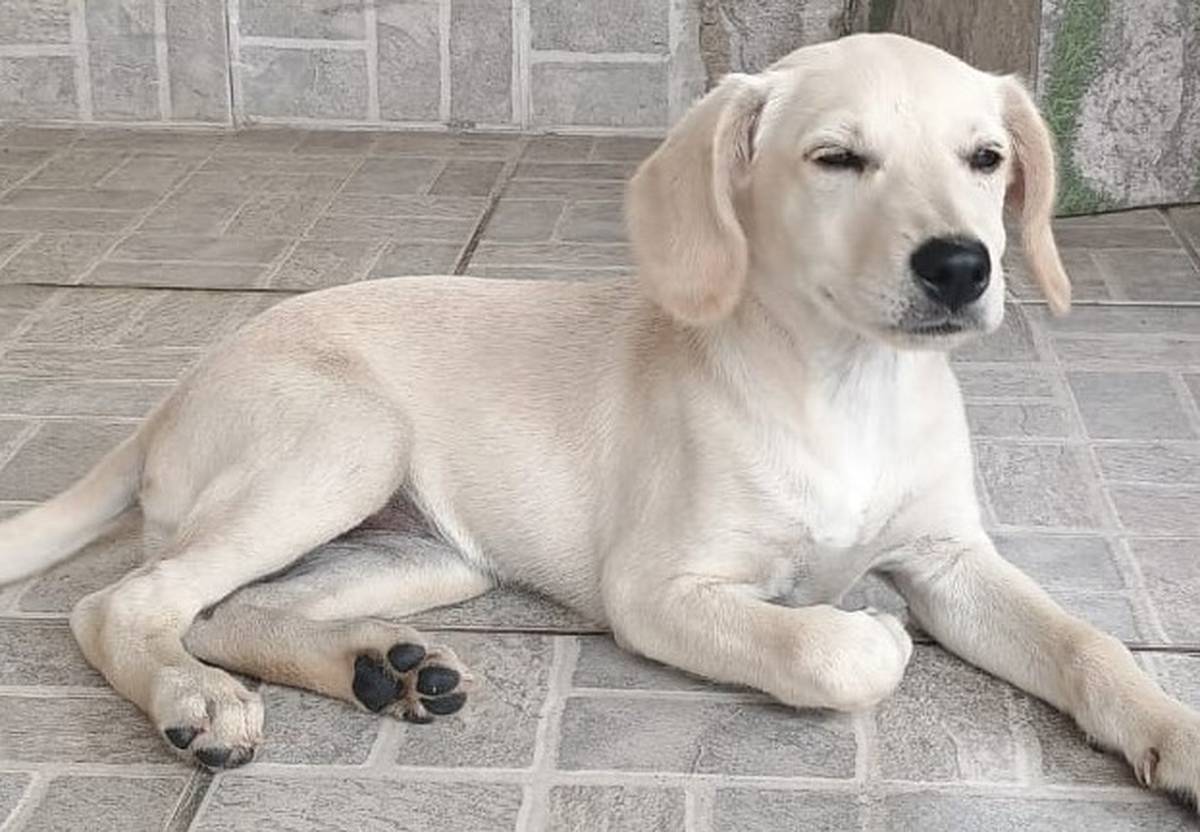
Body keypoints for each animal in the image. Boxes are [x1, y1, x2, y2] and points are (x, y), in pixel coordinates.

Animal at [1, 33, 1196, 803]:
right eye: (837, 159)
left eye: (987, 159)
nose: (963, 266)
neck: (848, 387)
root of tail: (169, 400)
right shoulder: (656, 590)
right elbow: (831, 653)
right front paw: (862, 632)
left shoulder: (951, 560)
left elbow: (1087, 643)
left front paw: (1174, 734)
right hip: (345, 444)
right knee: (125, 602)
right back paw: (195, 701)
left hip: (427, 555)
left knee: (223, 608)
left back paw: (380, 670)